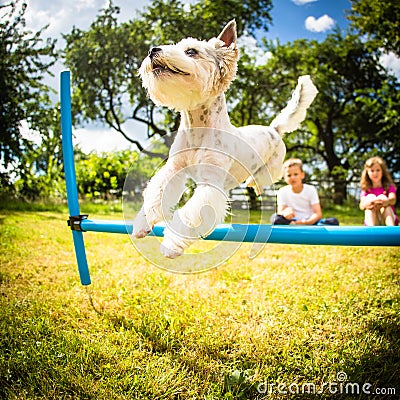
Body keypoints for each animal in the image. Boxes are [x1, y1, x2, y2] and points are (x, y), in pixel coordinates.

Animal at [133, 20, 318, 260]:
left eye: (191, 51)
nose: (152, 50)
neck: (197, 130)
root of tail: (273, 128)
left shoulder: (210, 184)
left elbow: (190, 213)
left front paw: (171, 245)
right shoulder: (174, 170)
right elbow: (156, 192)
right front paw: (142, 223)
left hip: (273, 166)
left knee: (266, 177)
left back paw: (253, 182)